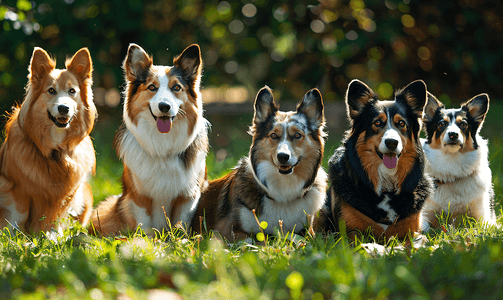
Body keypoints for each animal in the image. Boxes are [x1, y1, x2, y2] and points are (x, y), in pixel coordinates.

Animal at [0, 47, 96, 232]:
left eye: (72, 91)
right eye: (51, 90)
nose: (64, 108)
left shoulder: (67, 194)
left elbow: (54, 219)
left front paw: (52, 234)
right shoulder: (16, 190)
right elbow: (17, 215)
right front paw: (14, 235)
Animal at [89, 43, 209, 236]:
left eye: (176, 88)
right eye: (152, 87)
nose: (164, 106)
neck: (163, 145)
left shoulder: (188, 195)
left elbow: (181, 223)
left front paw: (180, 239)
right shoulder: (139, 195)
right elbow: (145, 223)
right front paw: (145, 241)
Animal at [191, 85, 328, 240]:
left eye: (298, 135)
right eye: (273, 135)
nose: (283, 156)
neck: (283, 191)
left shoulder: (309, 232)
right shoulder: (224, 230)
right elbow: (253, 239)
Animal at [326, 79, 434, 241]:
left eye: (401, 123)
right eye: (377, 122)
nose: (392, 142)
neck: (386, 188)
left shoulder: (412, 229)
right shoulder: (349, 231)